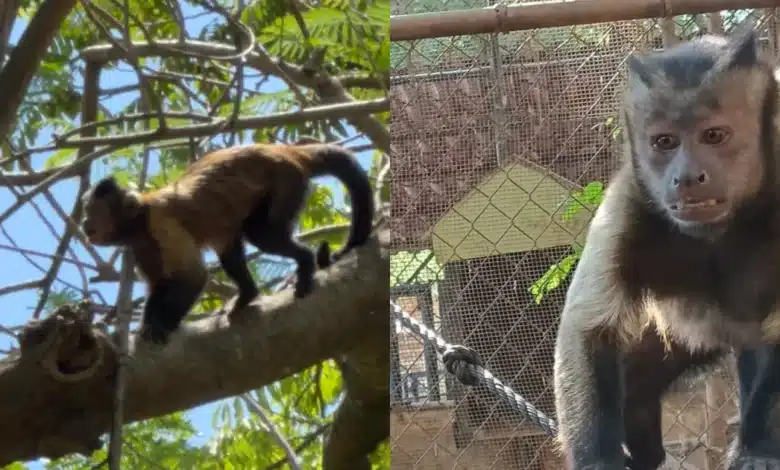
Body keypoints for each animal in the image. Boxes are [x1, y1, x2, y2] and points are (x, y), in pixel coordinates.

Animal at [80, 143, 375, 345]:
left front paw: (163, 325)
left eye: (91, 212)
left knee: (260, 234)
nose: (83, 223)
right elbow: (161, 283)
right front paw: (147, 324)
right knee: (230, 248)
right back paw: (248, 294)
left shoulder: (161, 223)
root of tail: (288, 151)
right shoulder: (139, 245)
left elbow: (193, 277)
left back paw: (304, 263)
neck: (139, 220)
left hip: (287, 181)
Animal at [548, 30, 780, 470]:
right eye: (665, 142)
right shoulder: (628, 203)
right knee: (637, 386)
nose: (686, 177)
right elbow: (588, 330)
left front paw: (759, 449)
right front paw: (597, 460)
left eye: (714, 136)